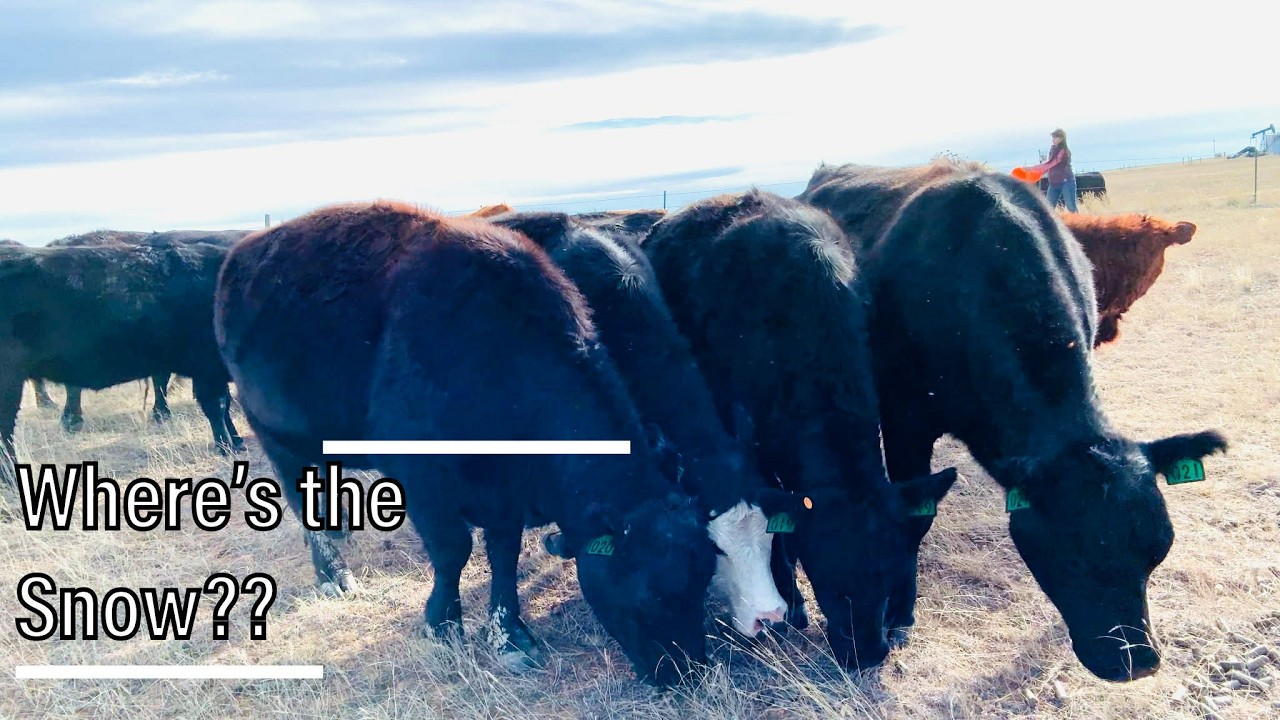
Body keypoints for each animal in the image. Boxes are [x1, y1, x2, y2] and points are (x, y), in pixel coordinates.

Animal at [1, 242, 244, 485]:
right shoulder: (207, 367)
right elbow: (217, 406)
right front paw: (226, 446)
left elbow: (224, 405)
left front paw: (236, 440)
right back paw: (12, 476)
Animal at [213, 200, 718, 687]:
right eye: (648, 592)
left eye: (703, 577)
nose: (684, 673)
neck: (495, 356)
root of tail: (244, 253)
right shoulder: (424, 481)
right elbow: (452, 549)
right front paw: (442, 622)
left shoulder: (505, 490)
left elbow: (504, 554)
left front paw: (509, 634)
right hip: (275, 435)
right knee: (302, 502)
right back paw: (332, 574)